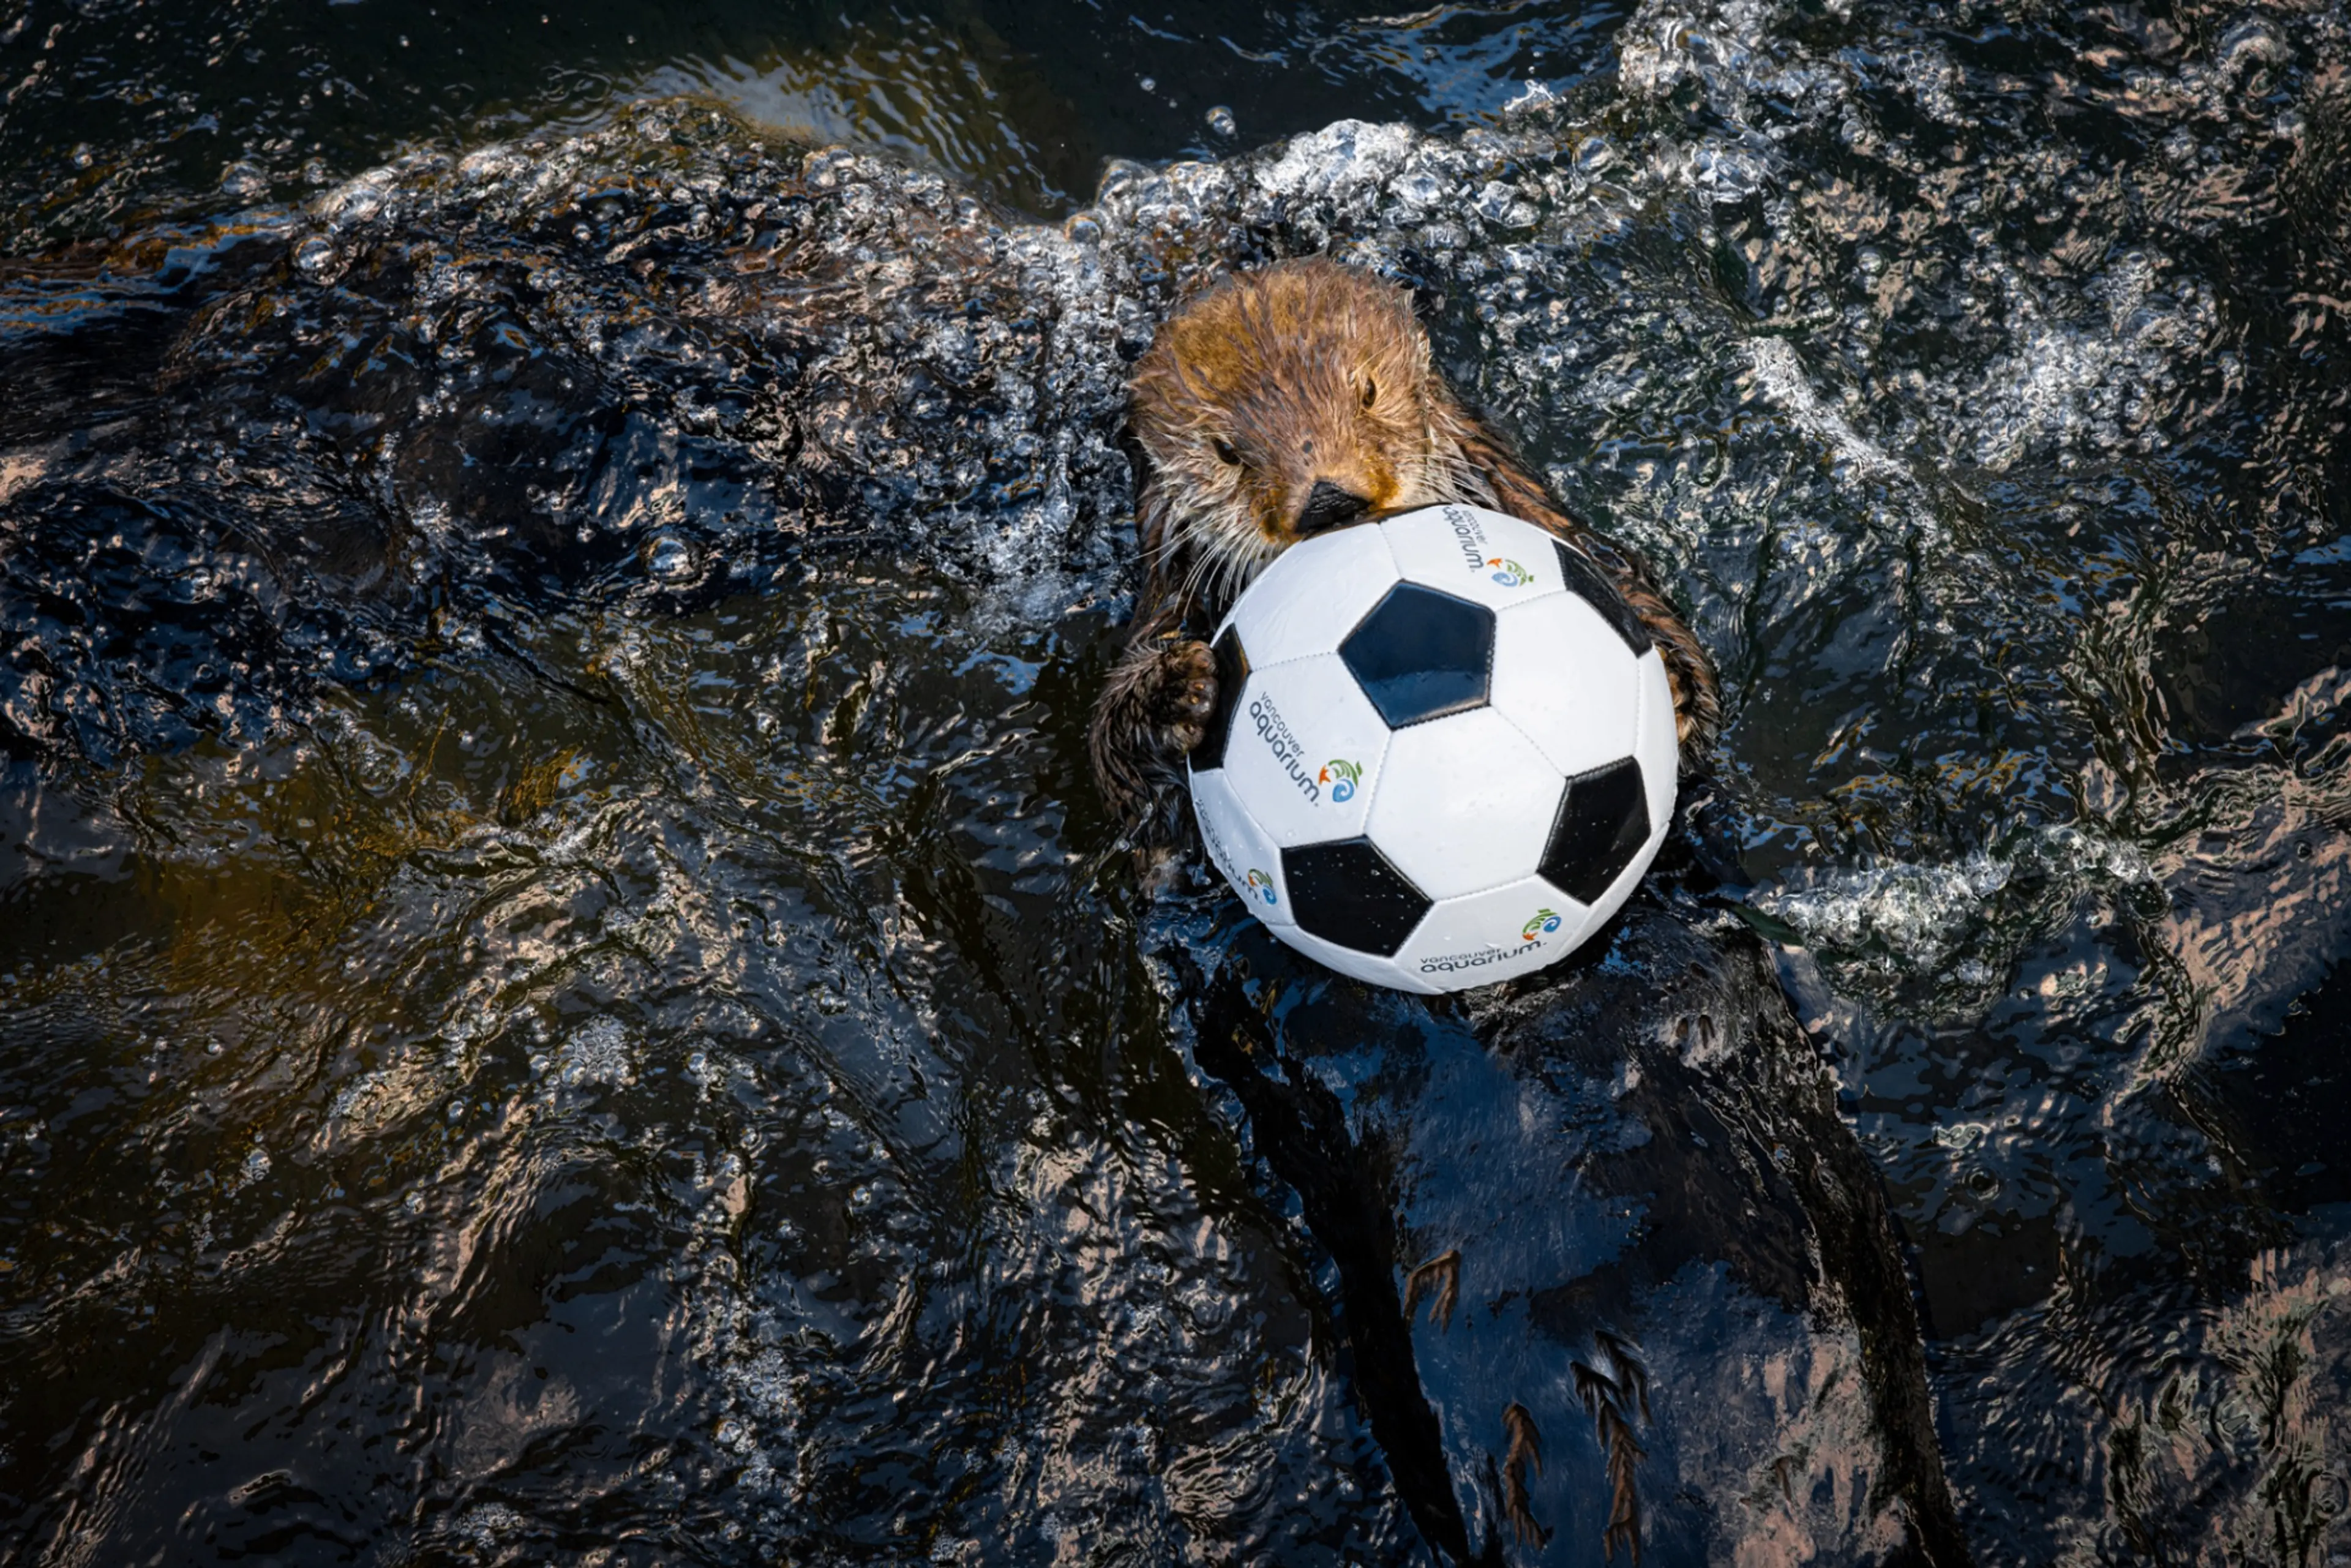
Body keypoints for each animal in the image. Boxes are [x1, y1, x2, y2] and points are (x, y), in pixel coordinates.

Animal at [1088, 259, 1721, 833]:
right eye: (1225, 452)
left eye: (1367, 391)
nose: (1328, 500)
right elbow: (1125, 779)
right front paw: (1177, 691)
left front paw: (1671, 686)